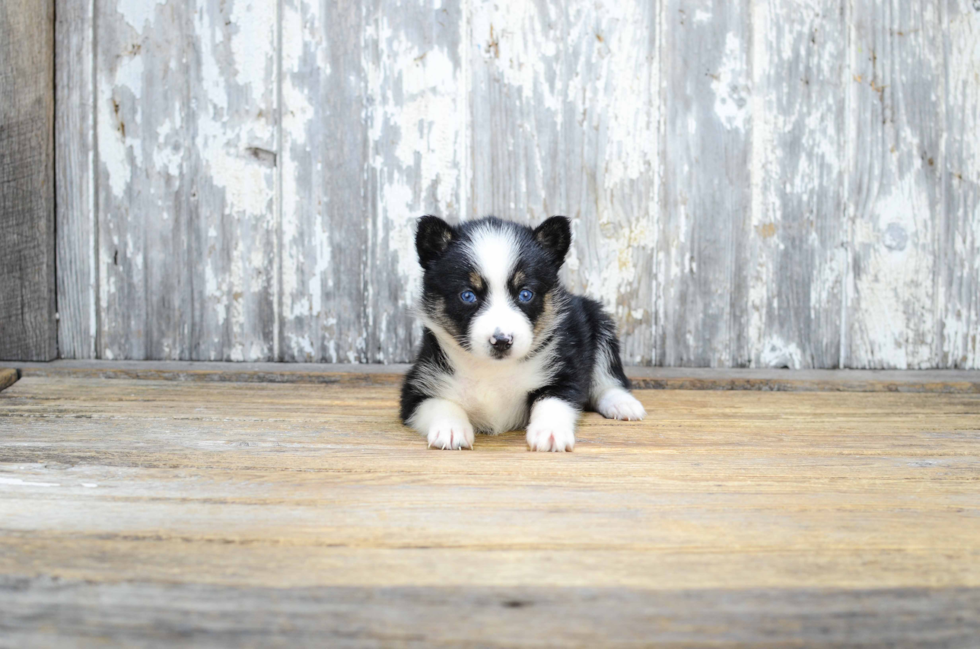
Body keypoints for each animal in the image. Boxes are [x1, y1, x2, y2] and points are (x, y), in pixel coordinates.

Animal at [398, 214, 644, 450]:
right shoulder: (416, 388)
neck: (493, 370)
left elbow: (553, 400)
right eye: (467, 295)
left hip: (598, 322)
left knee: (608, 378)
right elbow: (440, 404)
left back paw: (623, 404)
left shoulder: (565, 374)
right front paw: (450, 430)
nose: (501, 341)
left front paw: (550, 432)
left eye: (525, 294)